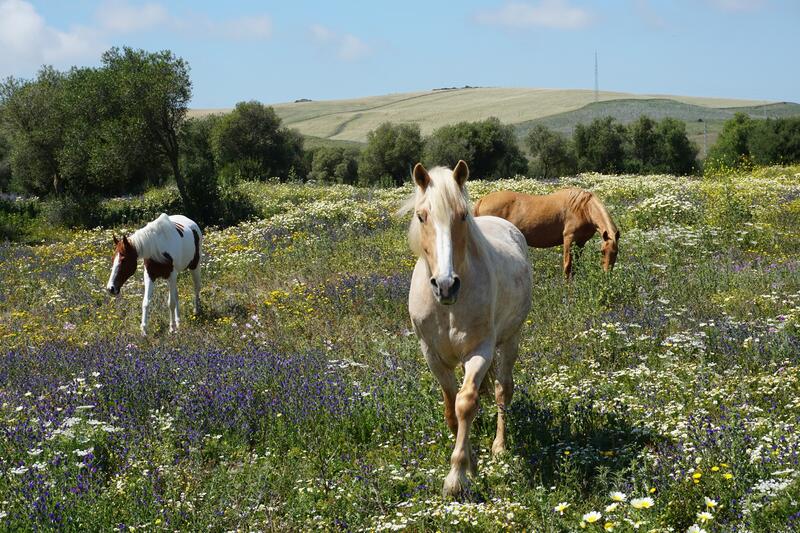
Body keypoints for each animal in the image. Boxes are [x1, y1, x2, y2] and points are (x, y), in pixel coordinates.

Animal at [406, 160, 532, 496]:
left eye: (462, 216)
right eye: (421, 216)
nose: (446, 285)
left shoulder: (480, 351)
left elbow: (465, 403)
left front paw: (458, 475)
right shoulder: (432, 355)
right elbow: (451, 407)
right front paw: (471, 462)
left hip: (510, 340)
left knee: (503, 390)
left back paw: (499, 446)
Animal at [476, 188, 620, 278]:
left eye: (616, 252)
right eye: (602, 251)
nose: (607, 274)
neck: (583, 208)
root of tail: (482, 200)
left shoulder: (580, 242)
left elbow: (576, 266)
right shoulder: (569, 238)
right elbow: (567, 266)